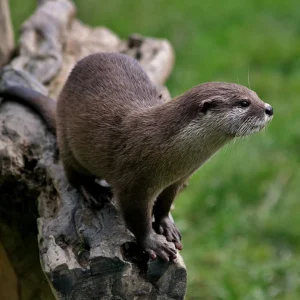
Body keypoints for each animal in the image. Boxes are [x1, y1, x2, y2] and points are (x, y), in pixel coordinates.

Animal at [0, 52, 272, 262]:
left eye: (255, 94)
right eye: (244, 103)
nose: (269, 108)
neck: (167, 151)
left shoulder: (177, 180)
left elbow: (164, 205)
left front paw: (166, 225)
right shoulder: (133, 183)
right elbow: (136, 219)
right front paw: (154, 244)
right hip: (68, 142)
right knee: (72, 175)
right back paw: (92, 191)